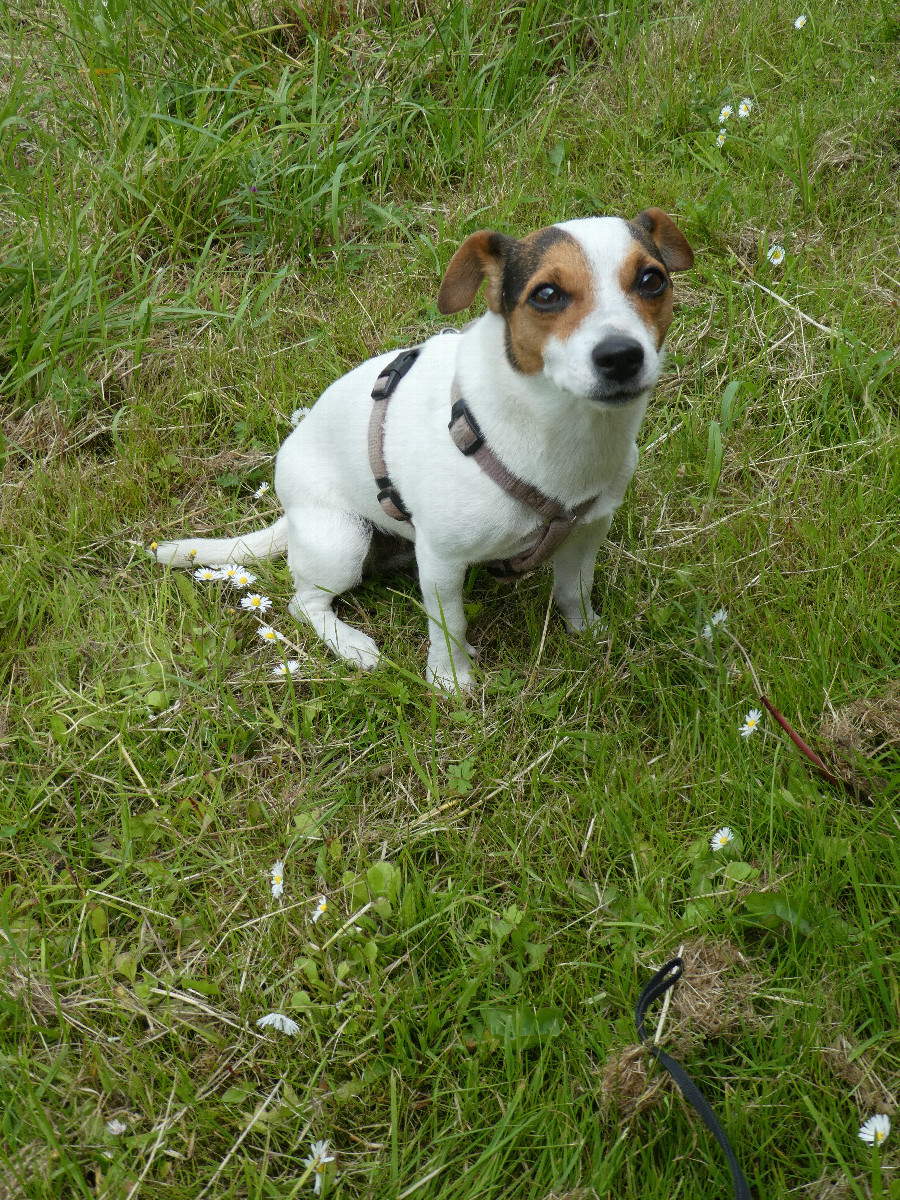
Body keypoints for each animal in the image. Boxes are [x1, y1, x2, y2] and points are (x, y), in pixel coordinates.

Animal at [154, 211, 696, 691]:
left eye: (651, 280)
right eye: (546, 294)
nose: (621, 356)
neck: (559, 429)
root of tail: (289, 513)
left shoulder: (587, 530)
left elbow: (573, 590)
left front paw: (588, 633)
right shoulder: (440, 560)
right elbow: (449, 625)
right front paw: (451, 679)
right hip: (342, 540)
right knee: (302, 603)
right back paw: (351, 644)